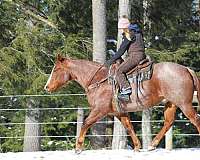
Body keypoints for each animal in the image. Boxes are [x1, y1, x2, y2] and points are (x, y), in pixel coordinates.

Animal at [44, 54, 200, 154]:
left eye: (56, 69)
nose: (46, 87)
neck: (99, 80)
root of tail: (186, 69)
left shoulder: (99, 110)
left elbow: (86, 123)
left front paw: (78, 147)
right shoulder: (119, 112)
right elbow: (129, 127)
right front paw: (137, 146)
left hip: (185, 104)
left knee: (195, 119)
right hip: (171, 104)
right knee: (168, 122)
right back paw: (152, 145)